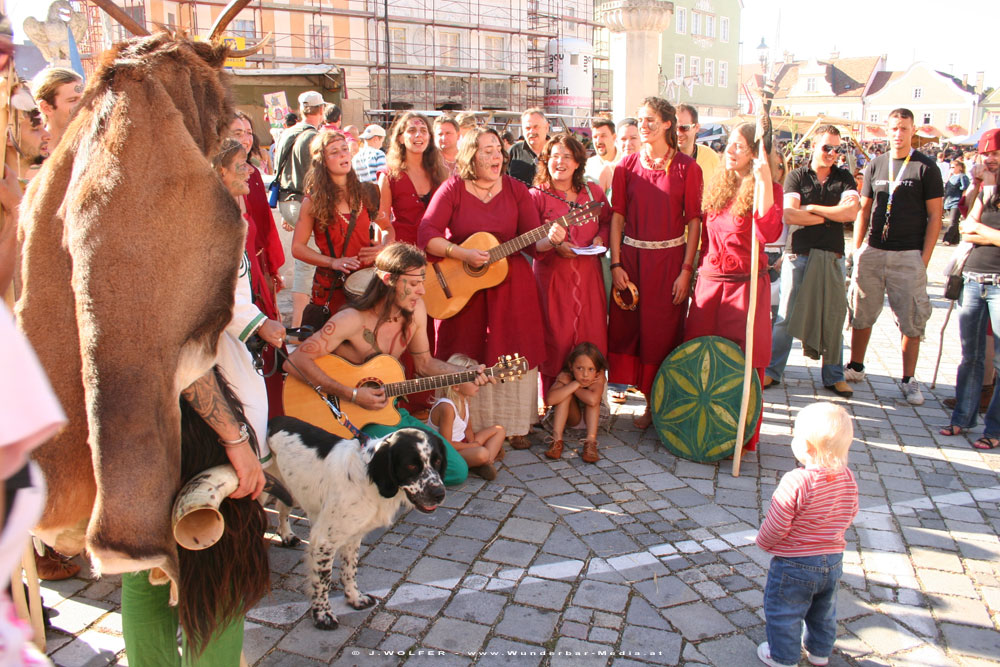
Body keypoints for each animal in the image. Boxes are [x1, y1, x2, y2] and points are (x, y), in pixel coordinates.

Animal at [266, 418, 446, 632]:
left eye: (437, 461)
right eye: (411, 465)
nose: (440, 493)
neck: (370, 481)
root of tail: (274, 420)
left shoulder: (353, 536)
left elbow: (349, 571)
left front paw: (354, 598)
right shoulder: (324, 541)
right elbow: (323, 581)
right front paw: (322, 615)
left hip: (289, 490)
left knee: (281, 507)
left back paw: (286, 535)